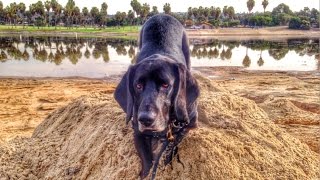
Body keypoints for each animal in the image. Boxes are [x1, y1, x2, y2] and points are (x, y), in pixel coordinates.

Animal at [115, 14, 199, 180]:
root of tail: (162, 15)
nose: (146, 119)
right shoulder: (137, 131)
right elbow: (147, 160)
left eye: (166, 85)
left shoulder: (188, 123)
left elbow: (173, 145)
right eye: (138, 86)